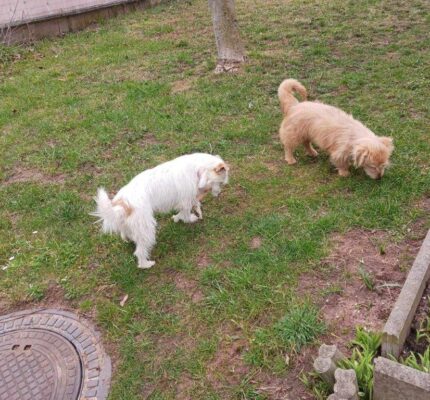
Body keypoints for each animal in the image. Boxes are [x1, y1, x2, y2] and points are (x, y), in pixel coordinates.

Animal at [92, 153, 229, 269]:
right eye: (221, 182)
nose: (218, 194)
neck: (197, 169)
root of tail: (123, 204)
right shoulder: (185, 200)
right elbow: (184, 214)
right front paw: (188, 218)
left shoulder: (190, 197)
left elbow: (193, 204)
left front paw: (196, 211)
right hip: (146, 229)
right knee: (140, 251)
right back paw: (146, 264)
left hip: (131, 225)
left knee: (125, 233)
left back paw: (128, 239)